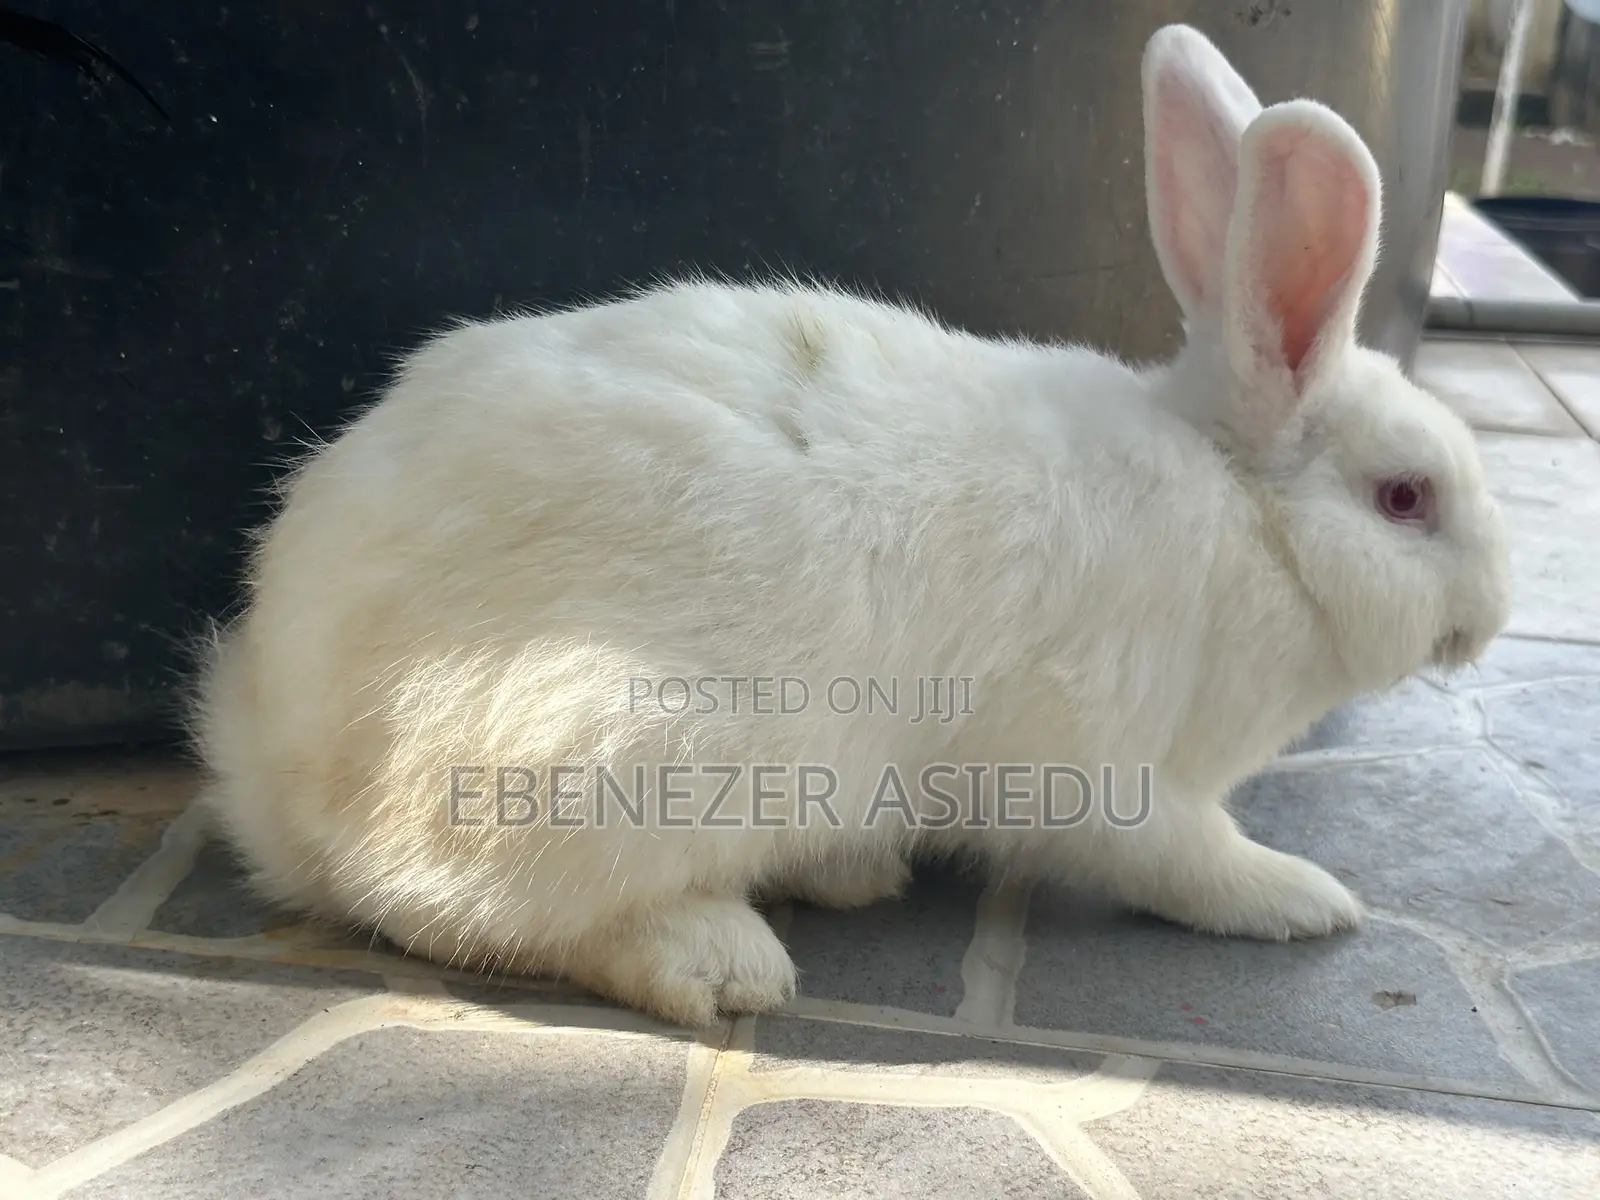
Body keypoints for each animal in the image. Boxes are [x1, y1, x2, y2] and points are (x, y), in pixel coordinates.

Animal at [190, 23, 1511, 1027]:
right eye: (1405, 498)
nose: (1492, 618)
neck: (1246, 514)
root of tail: (279, 762)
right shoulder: (1106, 768)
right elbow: (1180, 856)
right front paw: (1300, 897)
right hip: (636, 756)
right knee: (446, 904)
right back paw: (722, 961)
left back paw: (847, 874)